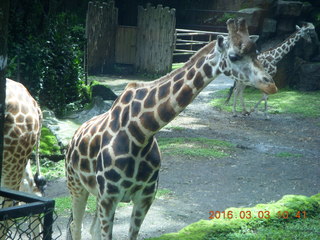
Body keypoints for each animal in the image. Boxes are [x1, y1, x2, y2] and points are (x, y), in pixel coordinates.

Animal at [65, 18, 278, 240]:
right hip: (76, 185)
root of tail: (74, 137)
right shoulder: (109, 197)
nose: (271, 85)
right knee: (76, 226)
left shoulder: (145, 198)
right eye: (234, 56)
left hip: (94, 193)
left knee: (91, 229)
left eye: (256, 52)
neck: (141, 132)